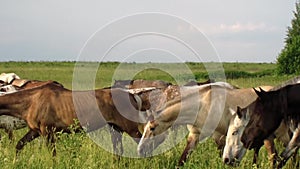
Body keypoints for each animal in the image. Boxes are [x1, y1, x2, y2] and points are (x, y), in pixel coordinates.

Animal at [137, 82, 274, 166]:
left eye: (152, 128)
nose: (140, 150)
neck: (203, 105)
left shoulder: (219, 136)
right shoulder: (194, 135)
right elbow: (182, 160)